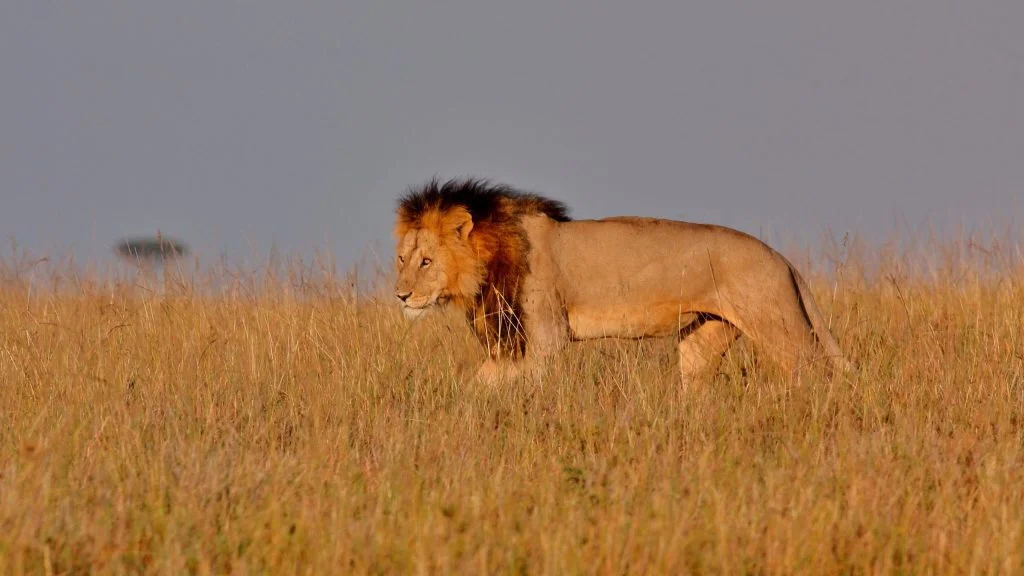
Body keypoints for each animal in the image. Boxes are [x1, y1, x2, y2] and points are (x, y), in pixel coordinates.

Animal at [394, 178, 852, 385]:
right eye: (402, 258)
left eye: (427, 262)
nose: (401, 295)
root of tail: (782, 258)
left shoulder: (545, 338)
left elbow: (487, 381)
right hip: (704, 337)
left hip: (780, 327)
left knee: (814, 368)